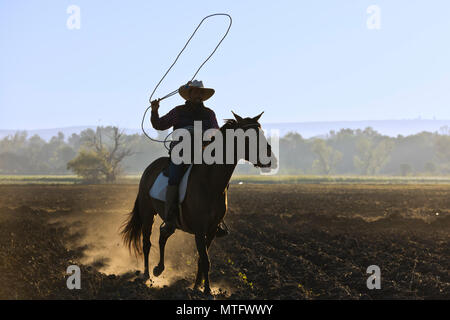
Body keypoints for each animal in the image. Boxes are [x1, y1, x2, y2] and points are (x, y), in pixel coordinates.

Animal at [123, 110, 278, 296]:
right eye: (247, 136)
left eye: (261, 133)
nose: (270, 159)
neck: (209, 181)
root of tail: (149, 168)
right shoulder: (199, 229)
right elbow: (205, 259)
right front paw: (207, 291)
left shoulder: (211, 230)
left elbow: (202, 259)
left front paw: (197, 287)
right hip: (148, 213)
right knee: (146, 242)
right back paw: (146, 275)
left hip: (170, 221)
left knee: (163, 235)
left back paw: (159, 269)